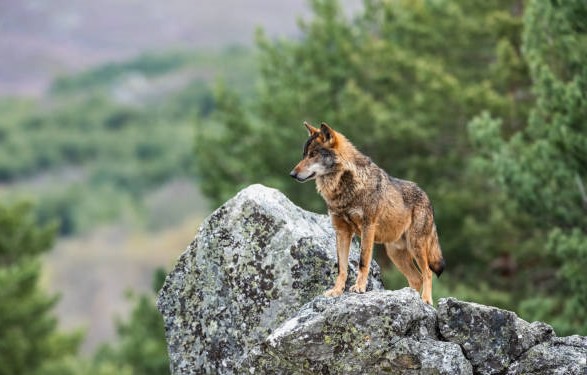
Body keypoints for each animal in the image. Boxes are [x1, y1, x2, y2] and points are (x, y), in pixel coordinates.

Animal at [290, 122, 446, 306]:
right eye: (304, 155)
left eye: (313, 154)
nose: (292, 174)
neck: (344, 187)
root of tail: (427, 197)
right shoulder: (342, 232)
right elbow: (341, 267)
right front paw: (337, 291)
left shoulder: (367, 227)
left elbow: (363, 262)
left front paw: (359, 288)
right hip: (395, 254)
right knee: (416, 278)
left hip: (416, 246)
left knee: (427, 273)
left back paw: (426, 300)